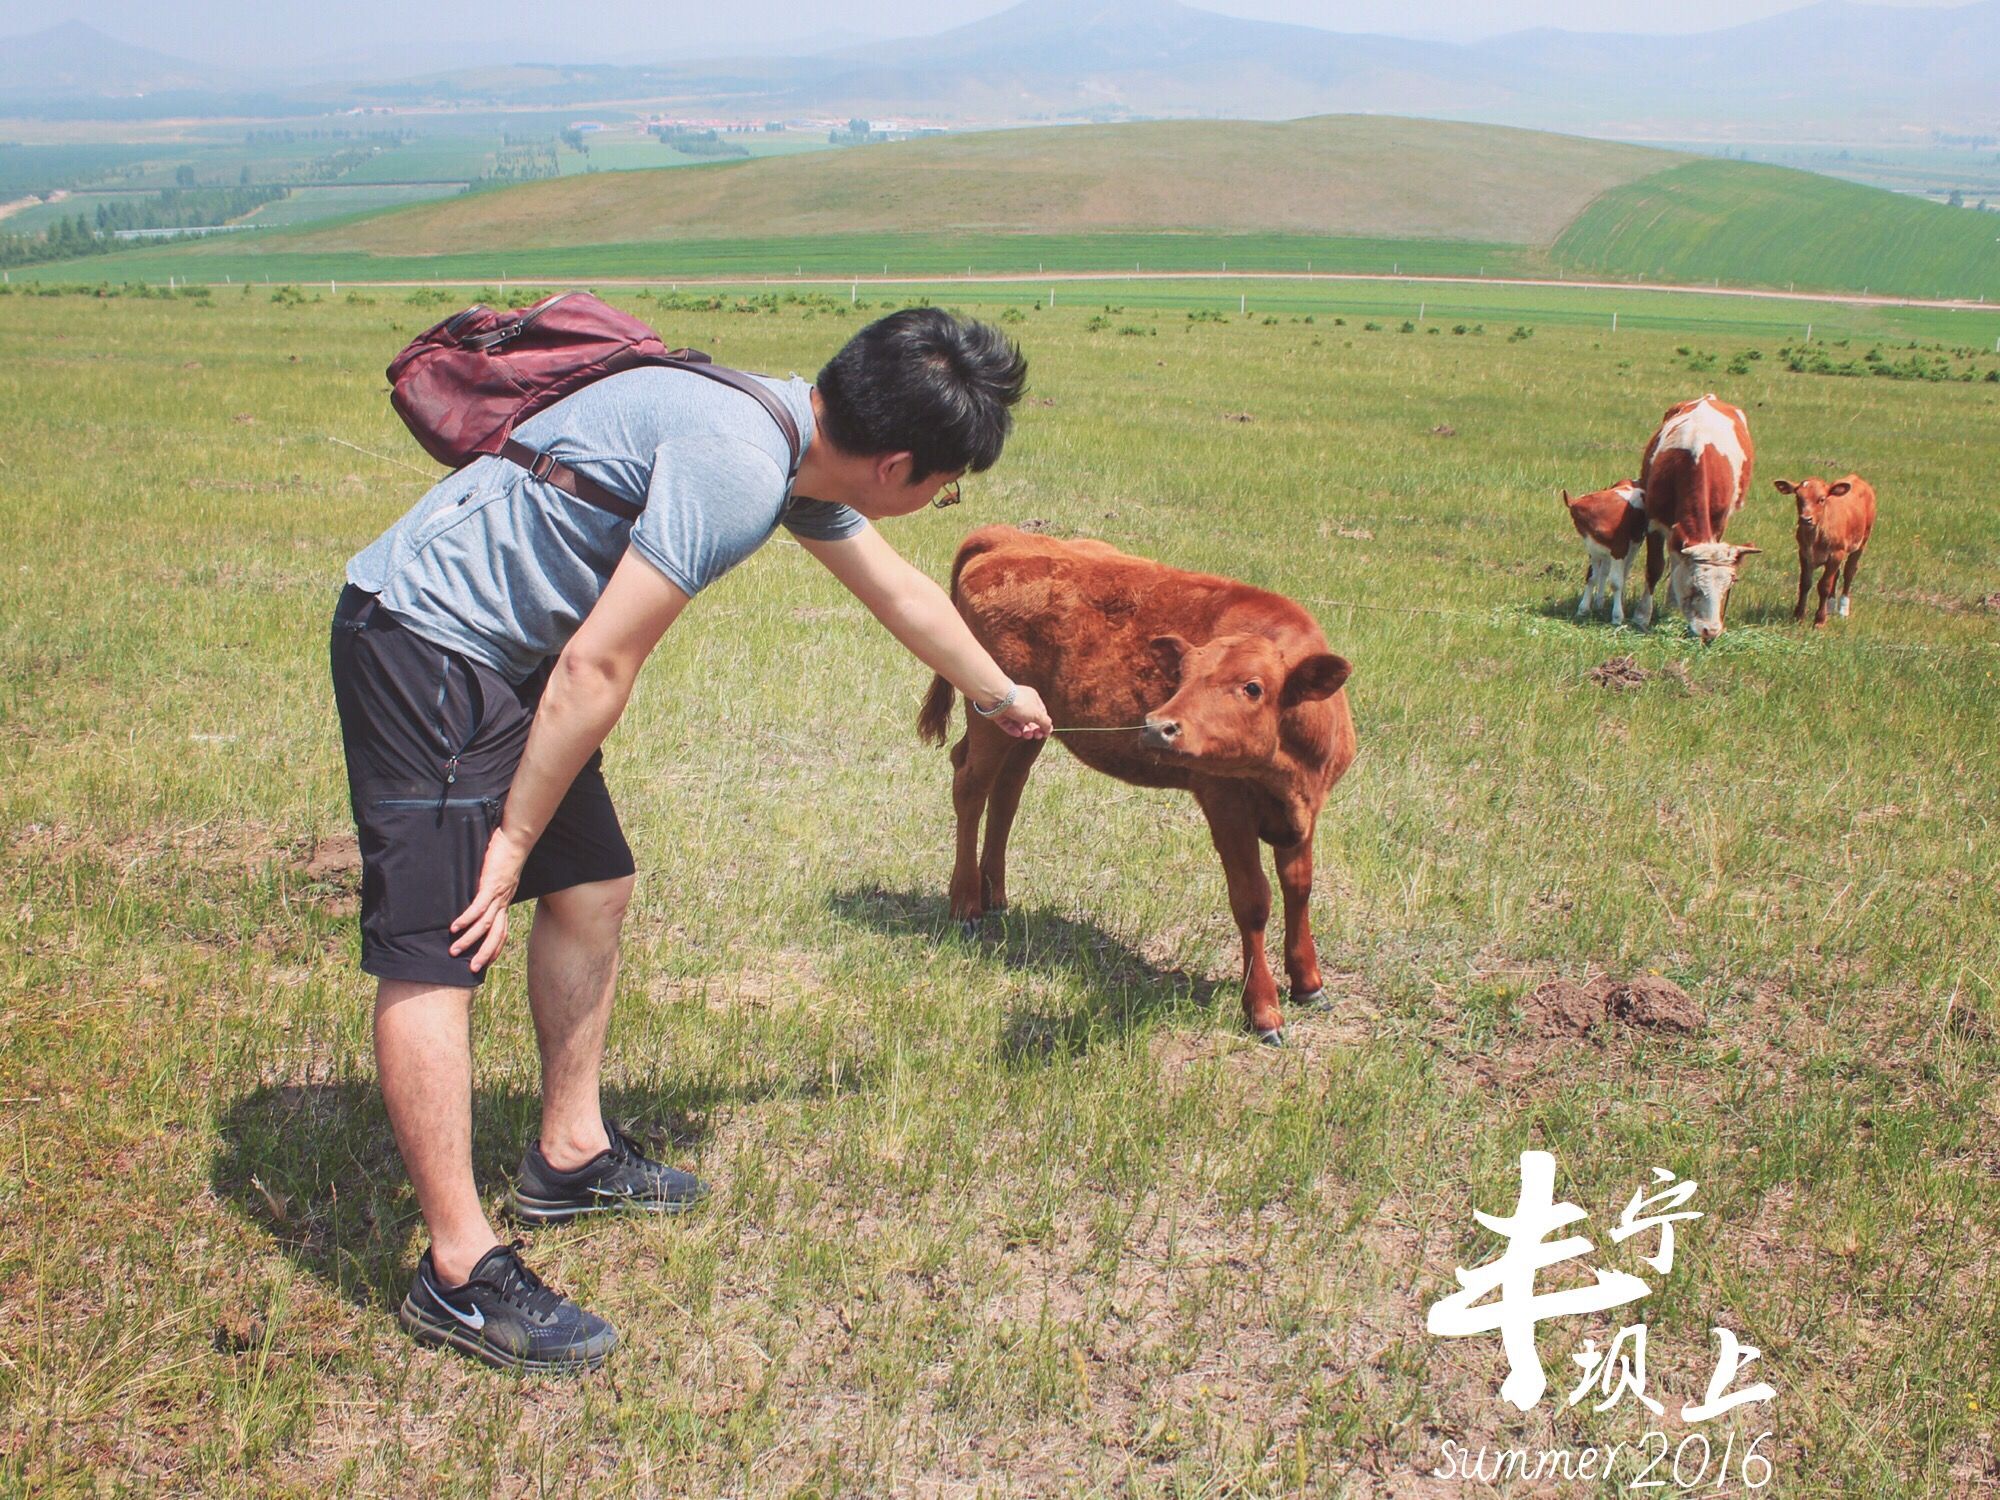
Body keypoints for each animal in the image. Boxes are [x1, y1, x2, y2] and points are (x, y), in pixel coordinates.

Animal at [912, 524, 1352, 1048]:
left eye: (1253, 687)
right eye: (1181, 676)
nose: (1158, 726)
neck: (1291, 775)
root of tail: (1006, 537)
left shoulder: (1305, 810)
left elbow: (1299, 886)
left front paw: (1308, 983)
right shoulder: (1225, 803)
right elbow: (1253, 900)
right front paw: (1264, 1011)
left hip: (1027, 725)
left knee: (1007, 793)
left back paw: (995, 894)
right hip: (989, 713)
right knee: (971, 786)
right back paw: (967, 903)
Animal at [1552, 482, 1648, 624]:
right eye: (1578, 519)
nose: (1598, 532)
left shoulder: (1620, 549)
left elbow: (1616, 582)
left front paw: (1617, 617)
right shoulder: (1593, 550)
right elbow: (1591, 578)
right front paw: (1583, 609)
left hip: (1634, 545)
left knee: (1624, 571)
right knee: (1604, 572)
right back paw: (1599, 602)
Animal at [1632, 394, 1760, 640]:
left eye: (1728, 587)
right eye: (1695, 586)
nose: (1710, 632)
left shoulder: (1717, 524)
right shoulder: (1654, 521)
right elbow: (1655, 567)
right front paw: (1642, 617)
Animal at [1784, 476, 1872, 628]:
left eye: (1821, 499)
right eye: (1798, 497)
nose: (1805, 519)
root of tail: (1855, 477)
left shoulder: (1836, 554)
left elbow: (1824, 585)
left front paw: (1819, 620)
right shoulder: (1804, 553)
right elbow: (1805, 583)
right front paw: (1798, 616)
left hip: (1862, 541)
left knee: (1849, 572)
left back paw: (1843, 609)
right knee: (1836, 574)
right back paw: (1830, 607)